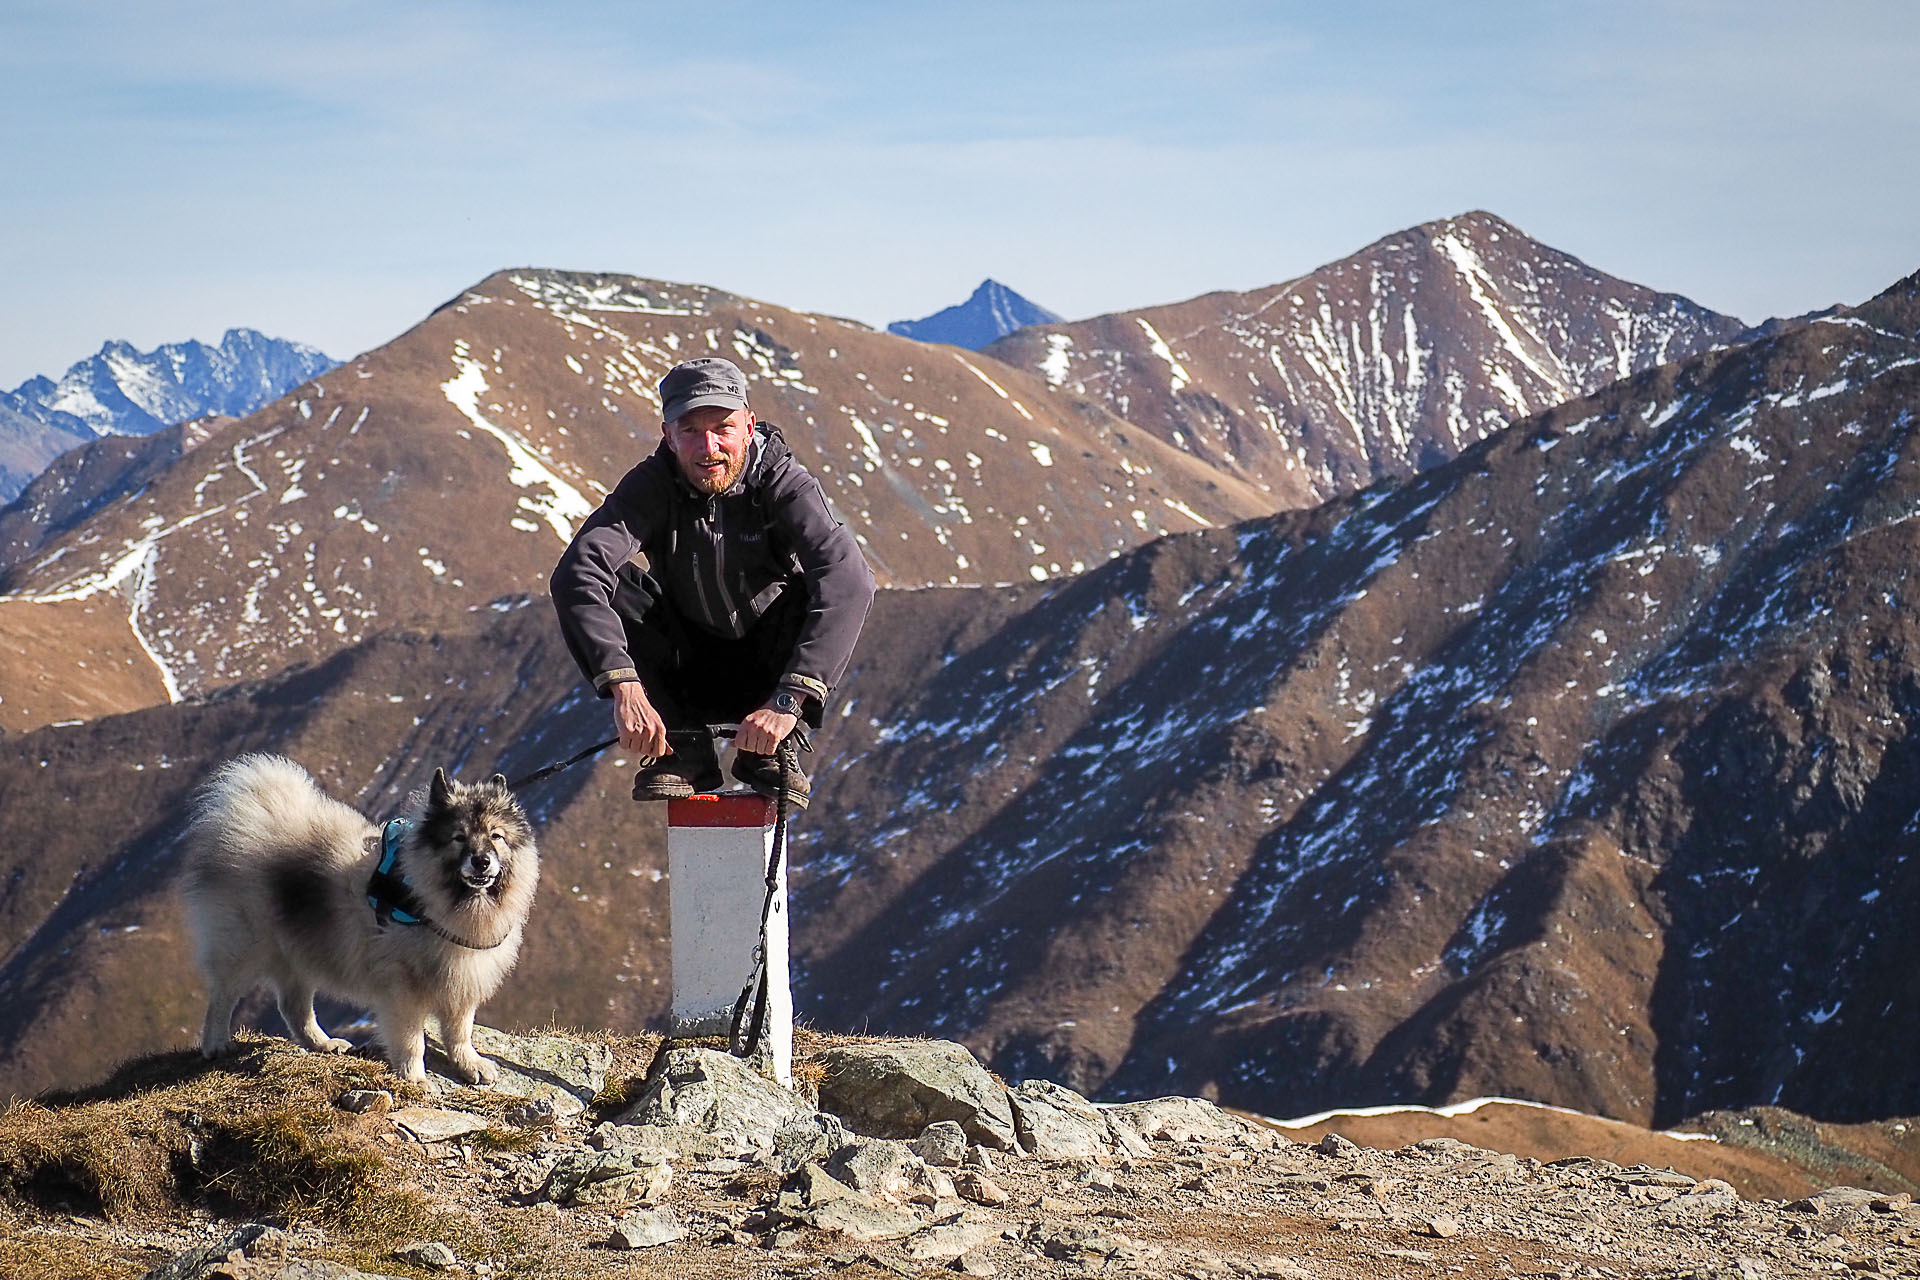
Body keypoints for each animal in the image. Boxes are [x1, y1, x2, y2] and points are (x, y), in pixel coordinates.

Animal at [180, 756, 541, 1090]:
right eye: (459, 837)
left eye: (496, 836)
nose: (481, 861)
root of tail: (254, 812)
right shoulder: (403, 989)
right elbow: (412, 1040)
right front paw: (414, 1078)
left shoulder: (462, 982)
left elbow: (459, 1032)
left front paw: (468, 1063)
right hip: (246, 947)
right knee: (223, 997)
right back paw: (216, 1044)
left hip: (301, 949)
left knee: (294, 1007)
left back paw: (322, 1043)